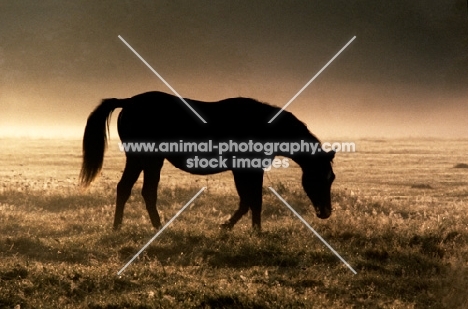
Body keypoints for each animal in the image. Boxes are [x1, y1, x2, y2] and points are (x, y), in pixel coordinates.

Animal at [81, 90, 336, 230]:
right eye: (321, 177)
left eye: (331, 178)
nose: (326, 212)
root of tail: (129, 102)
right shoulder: (247, 169)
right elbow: (253, 200)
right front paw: (251, 230)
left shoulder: (245, 170)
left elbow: (249, 200)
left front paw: (239, 227)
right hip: (149, 159)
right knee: (146, 192)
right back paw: (157, 226)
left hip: (138, 159)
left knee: (125, 188)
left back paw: (118, 226)